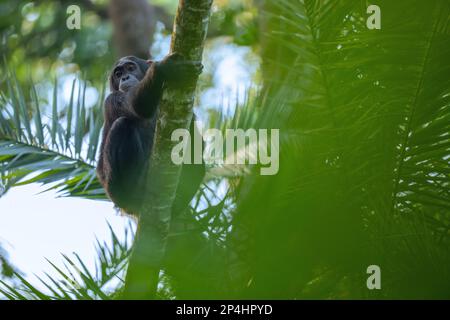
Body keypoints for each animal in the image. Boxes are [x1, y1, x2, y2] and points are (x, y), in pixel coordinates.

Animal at [98, 53, 206, 216]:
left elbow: (196, 141)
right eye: (118, 74)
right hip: (116, 191)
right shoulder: (113, 100)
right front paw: (164, 68)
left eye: (130, 67)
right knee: (122, 125)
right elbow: (137, 105)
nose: (125, 77)